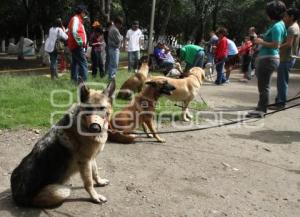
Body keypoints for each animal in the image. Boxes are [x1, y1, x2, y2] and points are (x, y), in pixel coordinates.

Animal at [9, 80, 115, 208]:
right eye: (88, 109)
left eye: (102, 108)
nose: (95, 127)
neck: (81, 123)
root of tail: (16, 196)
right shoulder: (84, 161)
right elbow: (88, 182)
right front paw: (94, 196)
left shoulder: (91, 158)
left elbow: (95, 172)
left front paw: (99, 181)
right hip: (61, 192)